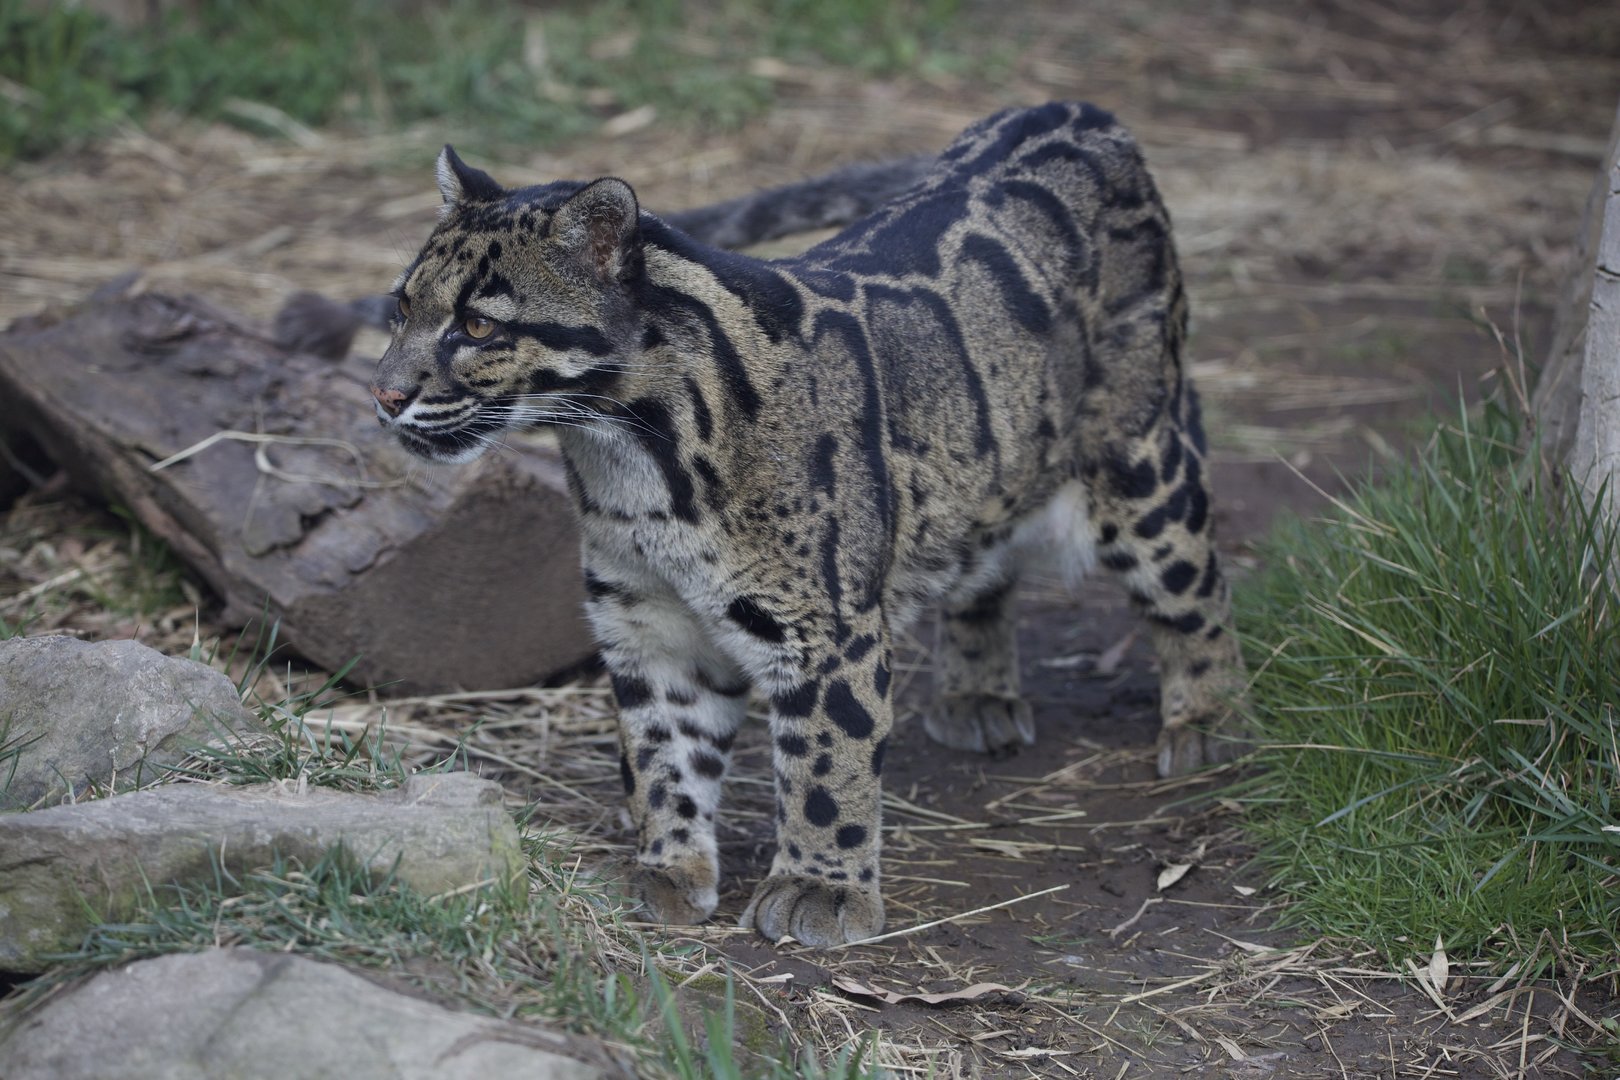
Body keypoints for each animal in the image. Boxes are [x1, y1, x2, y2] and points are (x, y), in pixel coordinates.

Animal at [366, 101, 1245, 947]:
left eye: (479, 326)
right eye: (400, 308)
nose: (383, 394)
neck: (631, 456)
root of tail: (1076, 108)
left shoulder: (826, 629)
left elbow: (827, 766)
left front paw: (821, 890)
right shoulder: (645, 621)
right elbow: (662, 753)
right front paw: (670, 866)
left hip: (1141, 464)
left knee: (1195, 587)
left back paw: (1209, 720)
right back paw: (977, 692)